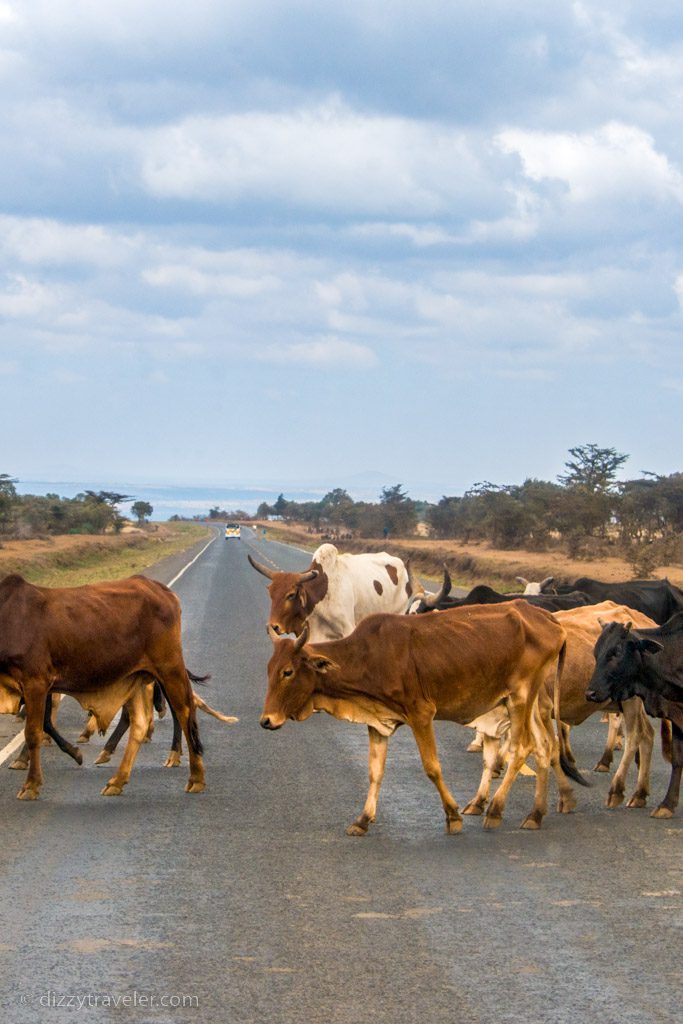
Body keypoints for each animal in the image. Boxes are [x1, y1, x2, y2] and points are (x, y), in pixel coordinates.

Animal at [0, 577, 205, 798]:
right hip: (136, 677)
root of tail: (158, 588)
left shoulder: (36, 683)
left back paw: (195, 777)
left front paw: (31, 784)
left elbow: (34, 732)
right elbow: (44, 723)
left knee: (185, 712)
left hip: (169, 669)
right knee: (139, 723)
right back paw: (117, 779)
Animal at [581, 610, 683, 819]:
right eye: (596, 652)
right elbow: (677, 760)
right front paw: (667, 805)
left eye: (617, 652)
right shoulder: (676, 716)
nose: (591, 693)